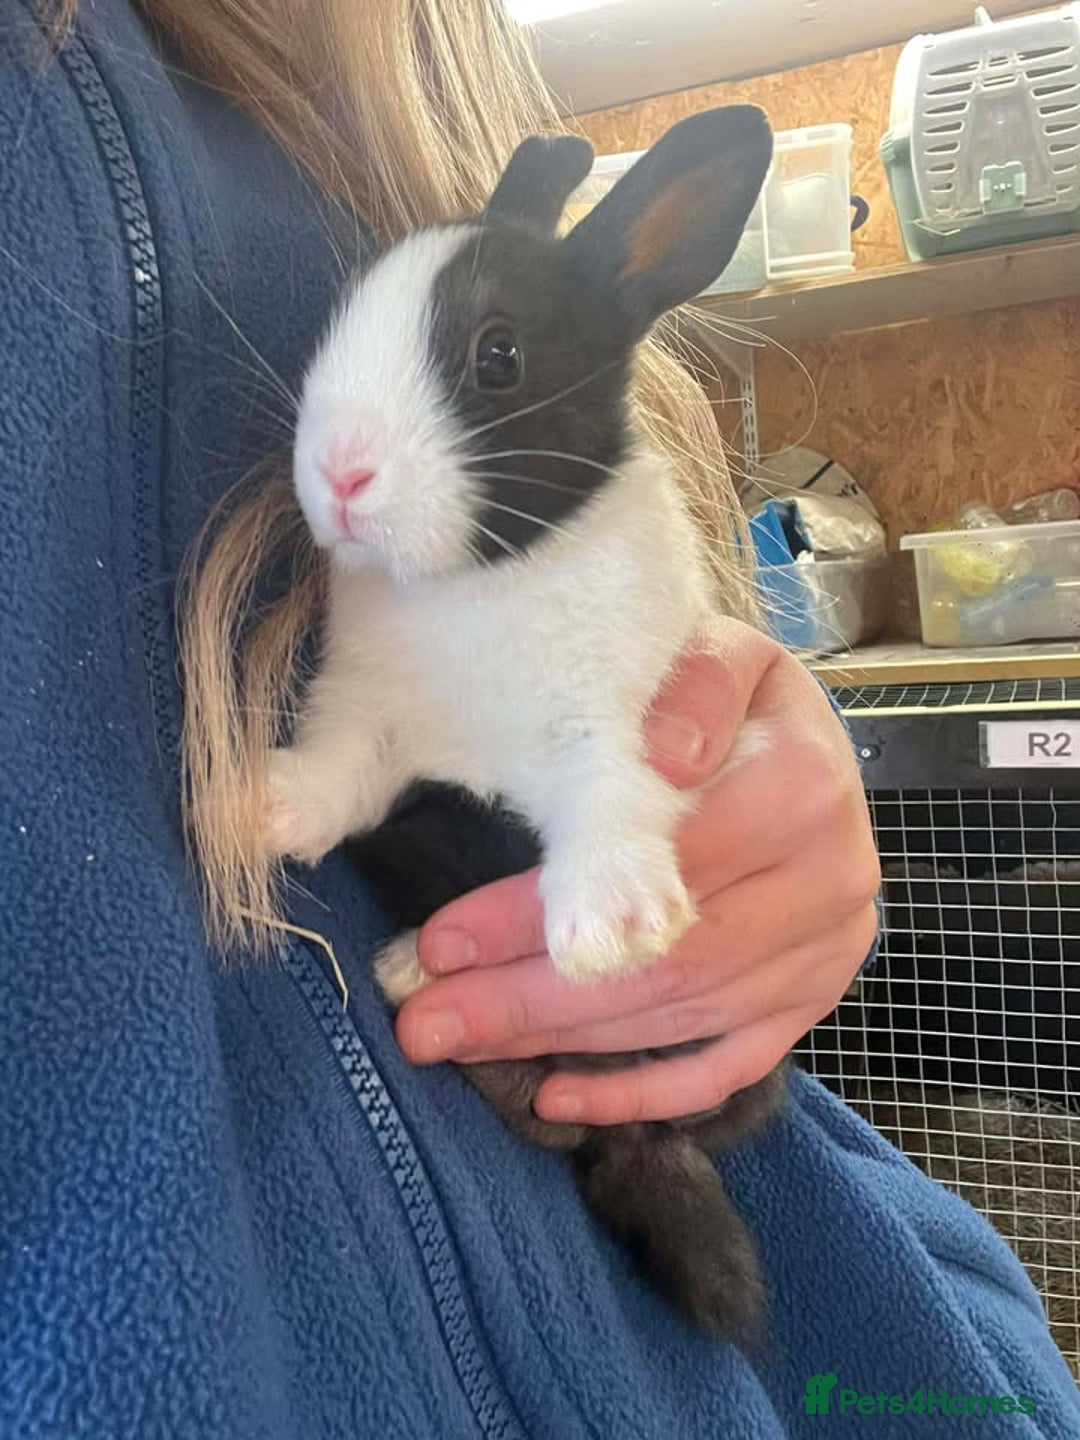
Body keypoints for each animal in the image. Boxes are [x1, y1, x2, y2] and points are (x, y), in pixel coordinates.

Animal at [266, 105, 786, 1338]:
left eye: (496, 356)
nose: (338, 476)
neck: (479, 584)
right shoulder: (371, 721)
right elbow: (338, 773)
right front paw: (260, 805)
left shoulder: (621, 719)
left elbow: (611, 794)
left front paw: (611, 927)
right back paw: (410, 966)